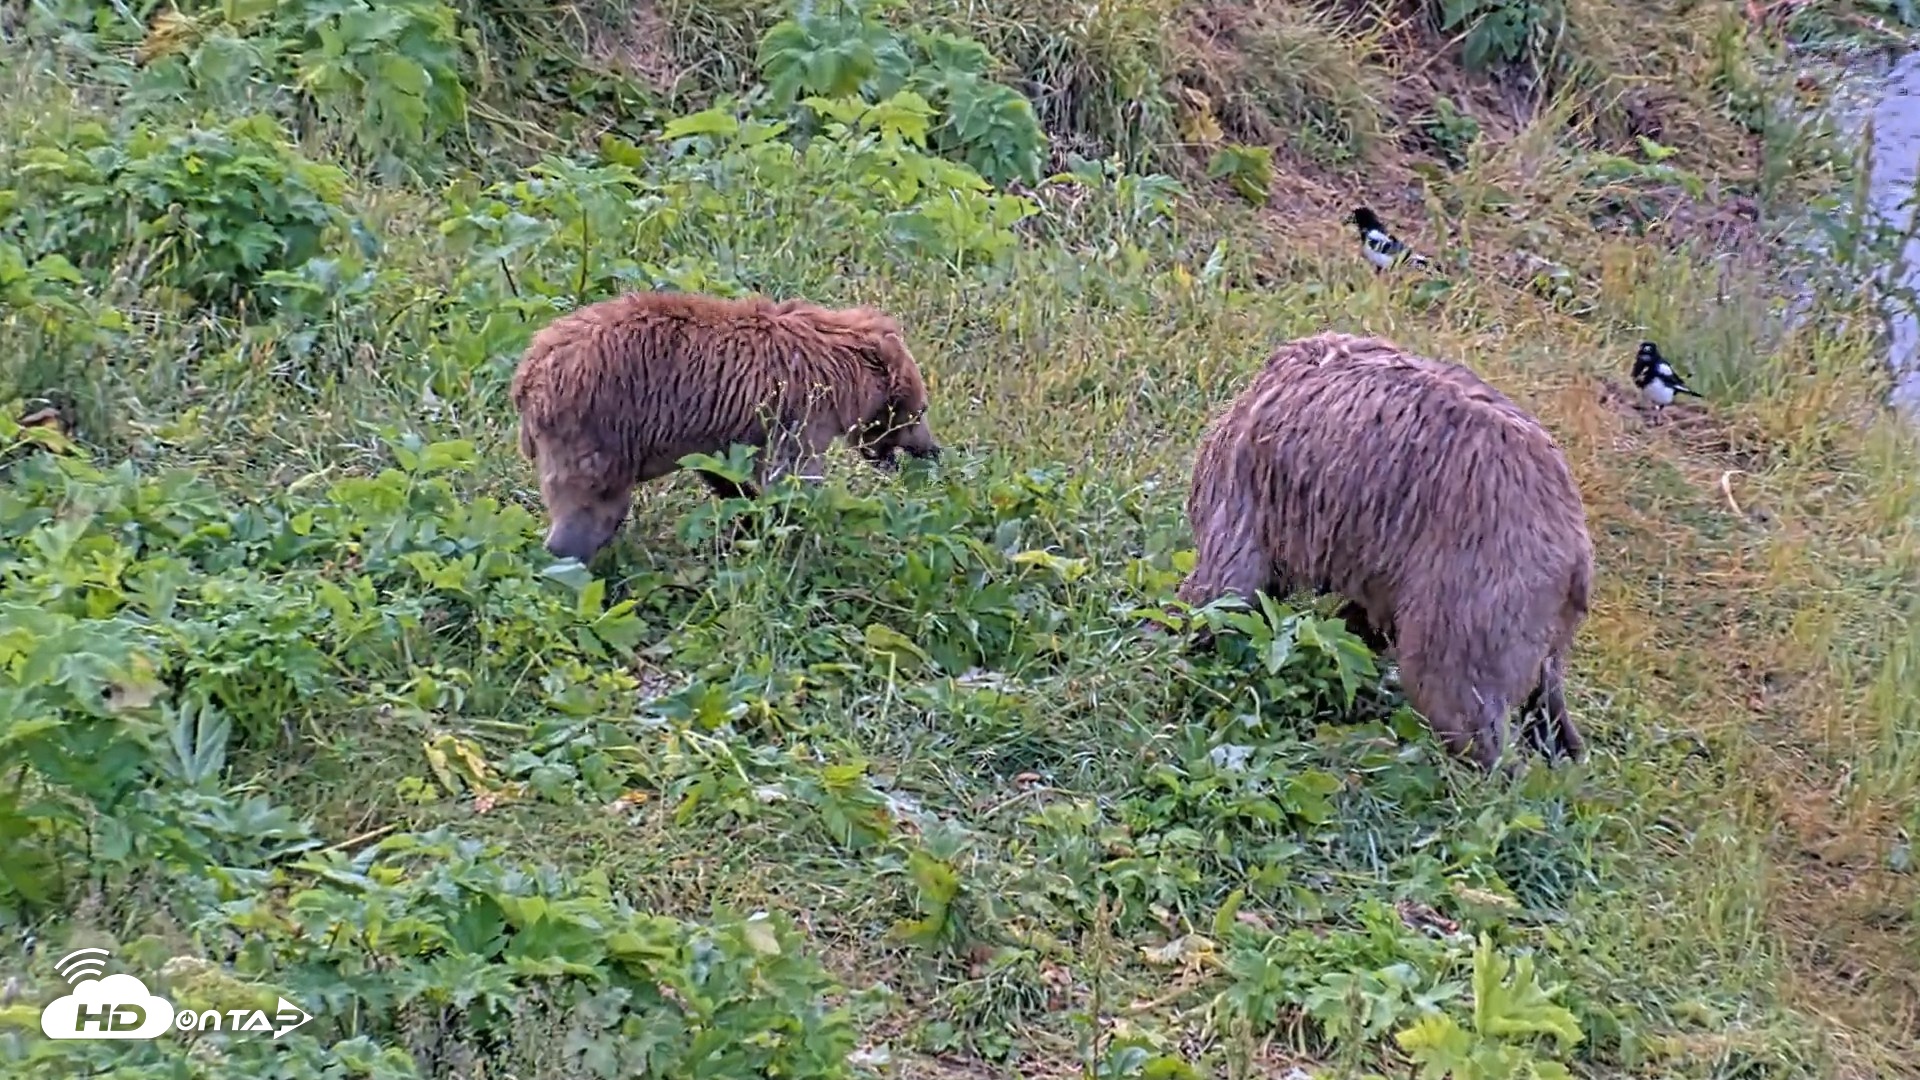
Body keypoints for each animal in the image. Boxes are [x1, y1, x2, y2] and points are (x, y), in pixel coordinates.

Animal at [509, 290, 941, 562]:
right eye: (920, 410)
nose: (933, 450)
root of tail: (528, 373)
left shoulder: (725, 430)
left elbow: (724, 471)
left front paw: (747, 513)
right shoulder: (797, 411)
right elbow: (792, 478)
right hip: (596, 429)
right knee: (588, 505)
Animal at [1174, 330, 1594, 770]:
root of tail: (1577, 556)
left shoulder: (1250, 492)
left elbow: (1224, 587)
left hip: (1477, 589)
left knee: (1460, 700)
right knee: (1546, 703)